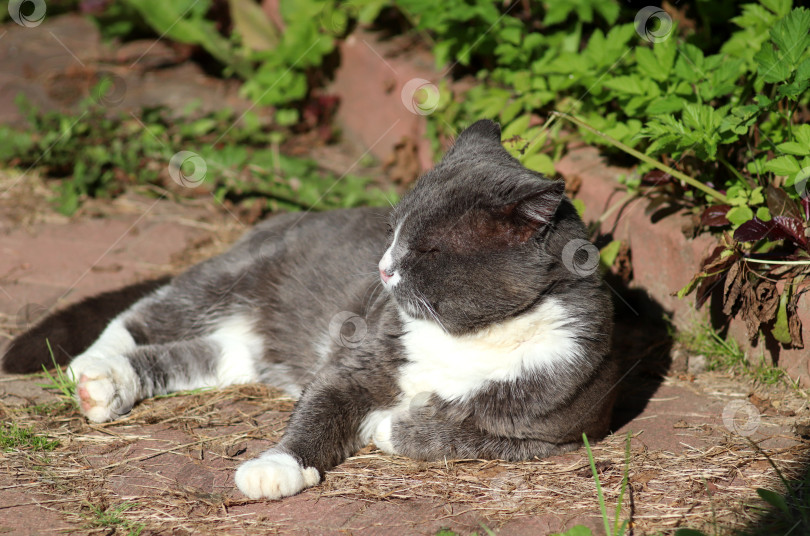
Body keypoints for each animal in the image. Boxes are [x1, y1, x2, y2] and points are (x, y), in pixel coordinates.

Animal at [3, 119, 616, 500]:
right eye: (393, 231)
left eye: (429, 249)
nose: (382, 267)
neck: (467, 336)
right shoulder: (354, 361)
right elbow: (318, 412)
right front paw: (276, 469)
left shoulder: (558, 432)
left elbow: (464, 435)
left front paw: (392, 423)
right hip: (232, 278)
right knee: (142, 316)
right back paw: (94, 372)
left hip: (246, 349)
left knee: (197, 356)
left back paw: (112, 387)